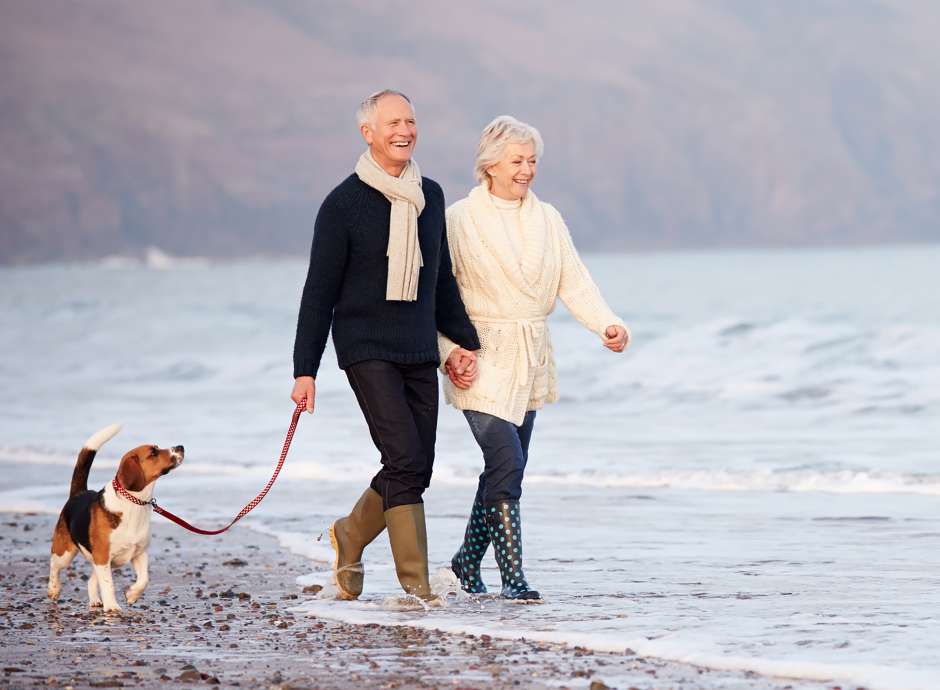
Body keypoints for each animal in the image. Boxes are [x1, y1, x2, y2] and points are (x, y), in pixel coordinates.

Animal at [48, 424, 185, 612]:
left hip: (102, 561)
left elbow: (144, 579)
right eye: (153, 453)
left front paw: (132, 595)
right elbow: (109, 585)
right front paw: (112, 607)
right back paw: (53, 588)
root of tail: (78, 493)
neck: (134, 503)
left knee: (91, 580)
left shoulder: (139, 553)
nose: (181, 447)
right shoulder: (103, 557)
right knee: (54, 566)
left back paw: (95, 600)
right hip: (66, 553)